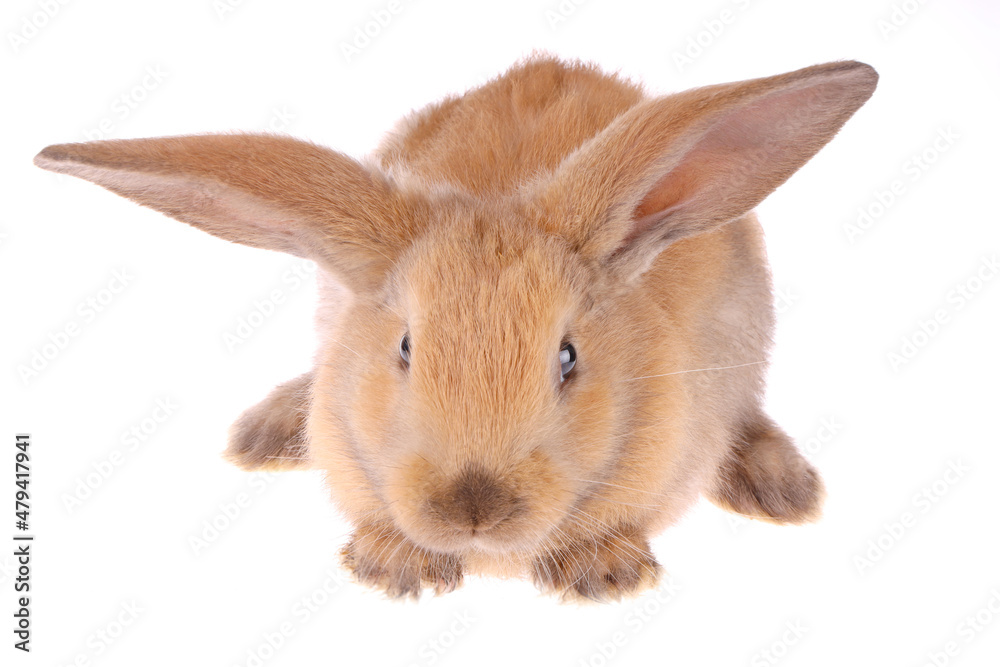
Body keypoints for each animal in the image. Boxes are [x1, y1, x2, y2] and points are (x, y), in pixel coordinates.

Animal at [34, 55, 877, 602]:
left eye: (568, 358)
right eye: (406, 347)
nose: (472, 507)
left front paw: (603, 574)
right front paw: (392, 568)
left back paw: (784, 486)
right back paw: (267, 431)